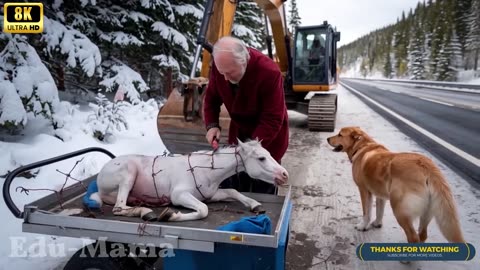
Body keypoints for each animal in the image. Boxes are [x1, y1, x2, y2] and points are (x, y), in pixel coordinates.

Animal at [90, 139, 288, 221]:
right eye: (261, 158)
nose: (284, 174)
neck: (207, 171)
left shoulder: (211, 194)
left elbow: (233, 191)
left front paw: (254, 204)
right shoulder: (179, 195)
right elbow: (203, 210)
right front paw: (171, 215)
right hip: (128, 173)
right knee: (118, 208)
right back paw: (146, 211)